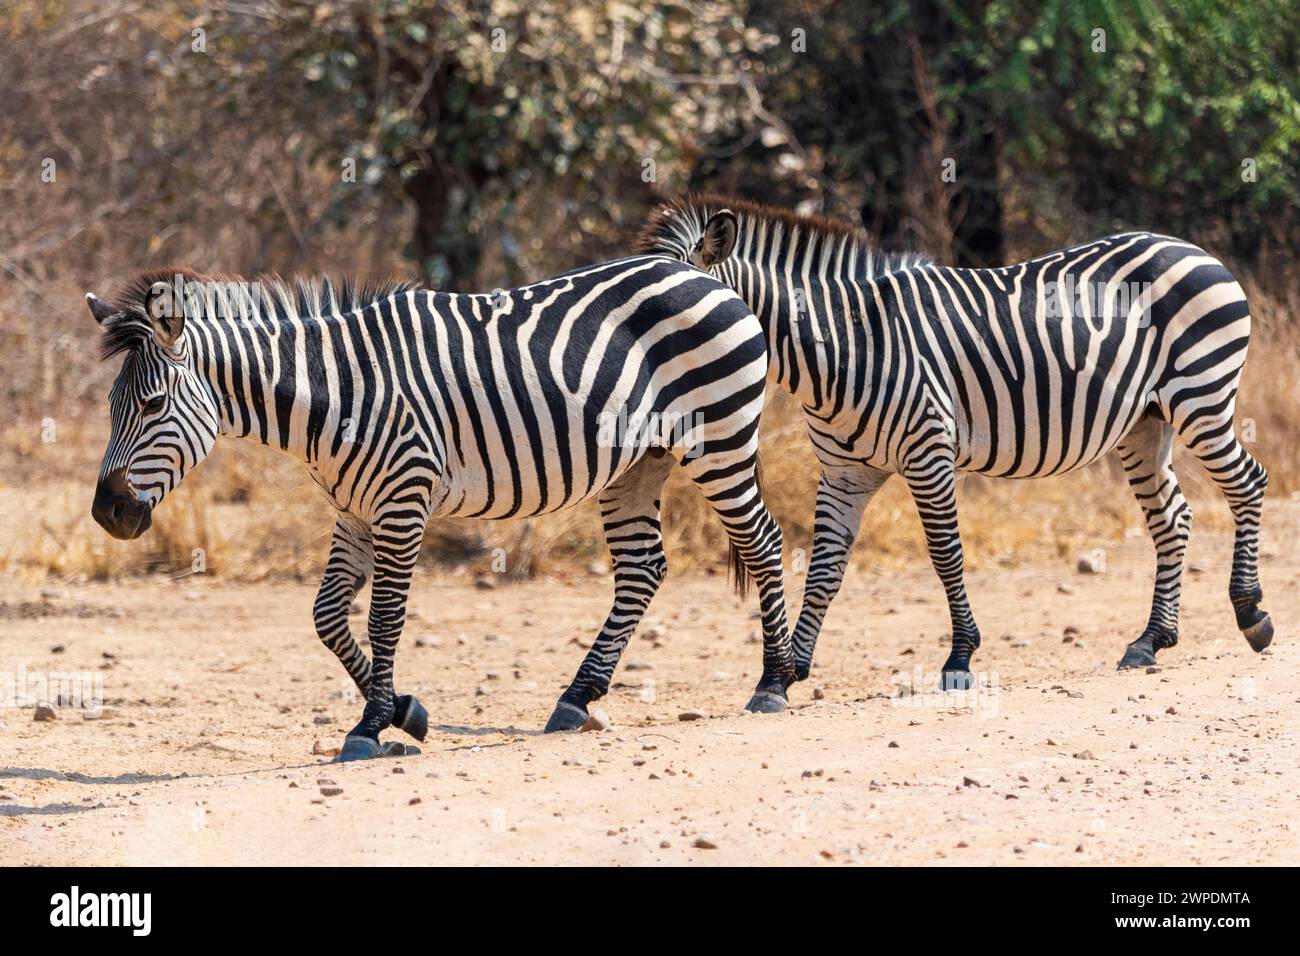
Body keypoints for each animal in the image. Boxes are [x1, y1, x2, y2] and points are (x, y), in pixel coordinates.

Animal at [86, 256, 795, 764]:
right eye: (112, 407)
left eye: (151, 405)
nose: (106, 514)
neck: (335, 395)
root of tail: (700, 272)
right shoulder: (354, 509)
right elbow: (326, 617)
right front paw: (406, 712)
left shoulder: (403, 500)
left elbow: (385, 619)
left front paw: (371, 727)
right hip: (639, 462)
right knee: (643, 570)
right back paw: (576, 698)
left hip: (720, 437)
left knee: (762, 541)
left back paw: (774, 683)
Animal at [634, 195, 1274, 686]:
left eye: (674, 315)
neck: (849, 345)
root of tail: (1192, 249)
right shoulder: (844, 473)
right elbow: (823, 568)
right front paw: (789, 673)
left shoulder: (929, 451)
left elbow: (945, 555)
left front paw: (960, 657)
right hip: (1144, 421)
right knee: (1174, 517)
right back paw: (1151, 639)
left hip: (1201, 398)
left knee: (1248, 484)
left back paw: (1251, 615)